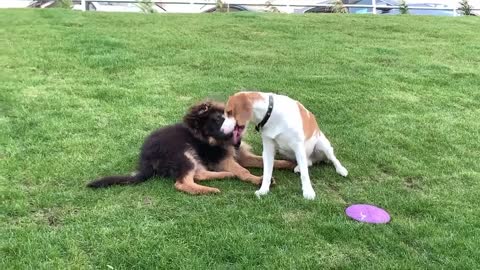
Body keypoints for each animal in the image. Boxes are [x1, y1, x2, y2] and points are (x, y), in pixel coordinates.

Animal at [87, 101, 294, 194]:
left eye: (219, 119)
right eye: (211, 128)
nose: (231, 138)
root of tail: (144, 161)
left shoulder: (241, 155)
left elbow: (269, 161)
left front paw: (290, 163)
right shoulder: (222, 159)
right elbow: (243, 171)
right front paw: (258, 180)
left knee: (199, 174)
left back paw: (225, 176)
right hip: (183, 153)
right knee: (183, 182)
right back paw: (209, 190)